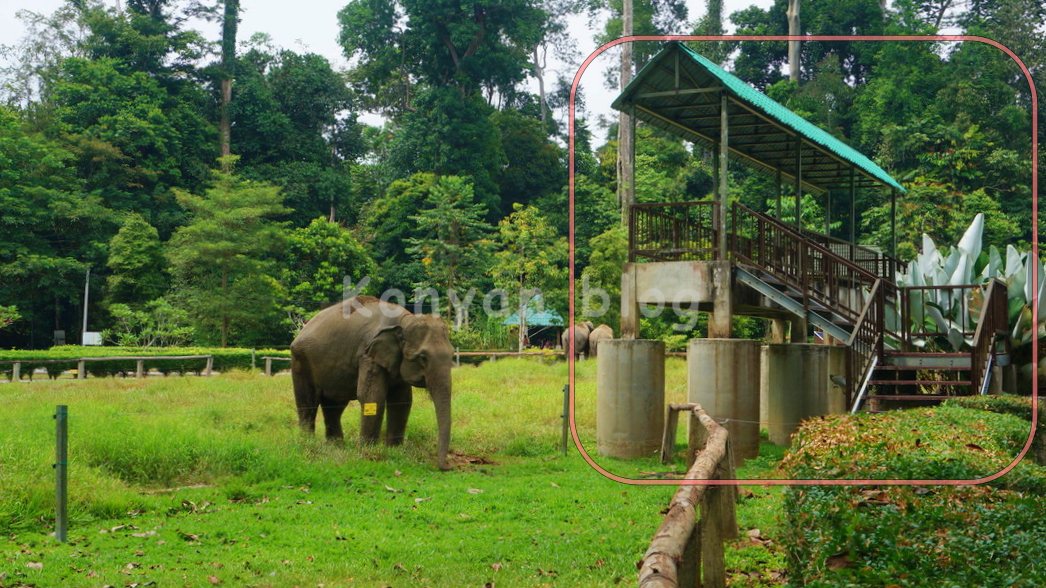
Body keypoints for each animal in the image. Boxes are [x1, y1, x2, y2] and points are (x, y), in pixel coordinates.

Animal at [288, 295, 451, 468]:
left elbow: (402, 401)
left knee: (334, 406)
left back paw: (336, 446)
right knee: (307, 404)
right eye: (422, 357)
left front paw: (395, 450)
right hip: (300, 362)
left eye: (453, 354)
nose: (447, 466)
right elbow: (372, 396)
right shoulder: (368, 355)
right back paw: (307, 444)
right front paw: (368, 453)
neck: (404, 319)